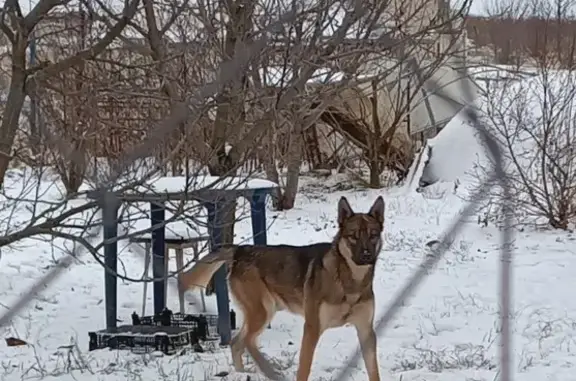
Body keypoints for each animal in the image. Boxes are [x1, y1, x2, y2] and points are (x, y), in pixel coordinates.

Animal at [180, 196, 384, 380]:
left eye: (373, 235)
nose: (367, 255)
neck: (350, 281)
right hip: (263, 312)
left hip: (264, 312)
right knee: (246, 342)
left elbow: (374, 372)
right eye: (353, 236)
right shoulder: (312, 328)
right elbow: (304, 369)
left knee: (237, 342)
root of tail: (240, 250)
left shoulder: (366, 331)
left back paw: (244, 373)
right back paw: (268, 371)